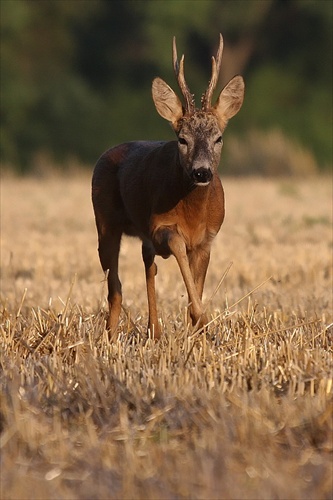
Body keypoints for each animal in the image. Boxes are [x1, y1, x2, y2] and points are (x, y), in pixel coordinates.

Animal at [92, 35, 243, 340]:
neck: (193, 215)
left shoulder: (207, 239)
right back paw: (110, 337)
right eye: (182, 139)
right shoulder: (158, 226)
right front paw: (203, 319)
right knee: (115, 287)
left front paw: (197, 329)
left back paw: (155, 330)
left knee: (146, 266)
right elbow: (177, 245)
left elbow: (195, 284)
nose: (201, 171)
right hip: (105, 223)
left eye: (218, 138)